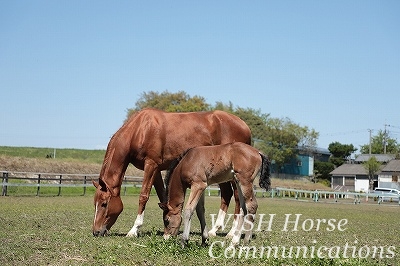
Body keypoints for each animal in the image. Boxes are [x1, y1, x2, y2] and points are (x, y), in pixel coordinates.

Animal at [92, 108, 252, 237]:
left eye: (104, 204)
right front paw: (168, 223)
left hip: (233, 174)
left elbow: (143, 196)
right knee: (227, 194)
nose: (96, 231)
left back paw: (232, 233)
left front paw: (134, 230)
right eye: (95, 203)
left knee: (237, 197)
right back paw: (214, 230)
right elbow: (163, 196)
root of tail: (244, 125)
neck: (140, 130)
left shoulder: (151, 165)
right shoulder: (156, 169)